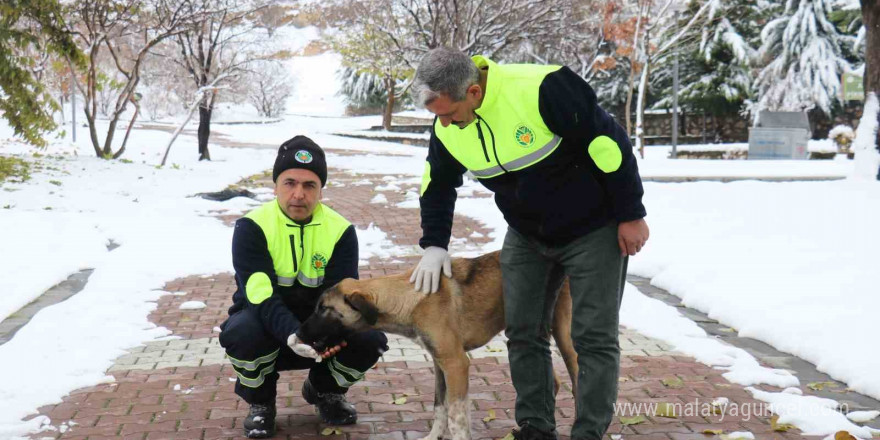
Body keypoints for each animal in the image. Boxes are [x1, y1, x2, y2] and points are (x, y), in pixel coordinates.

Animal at [300, 251, 580, 440]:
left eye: (324, 309)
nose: (299, 331)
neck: (410, 298)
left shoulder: (456, 364)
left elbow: (456, 416)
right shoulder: (439, 363)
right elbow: (439, 407)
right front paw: (434, 436)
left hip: (565, 335)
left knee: (578, 379)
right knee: (553, 381)